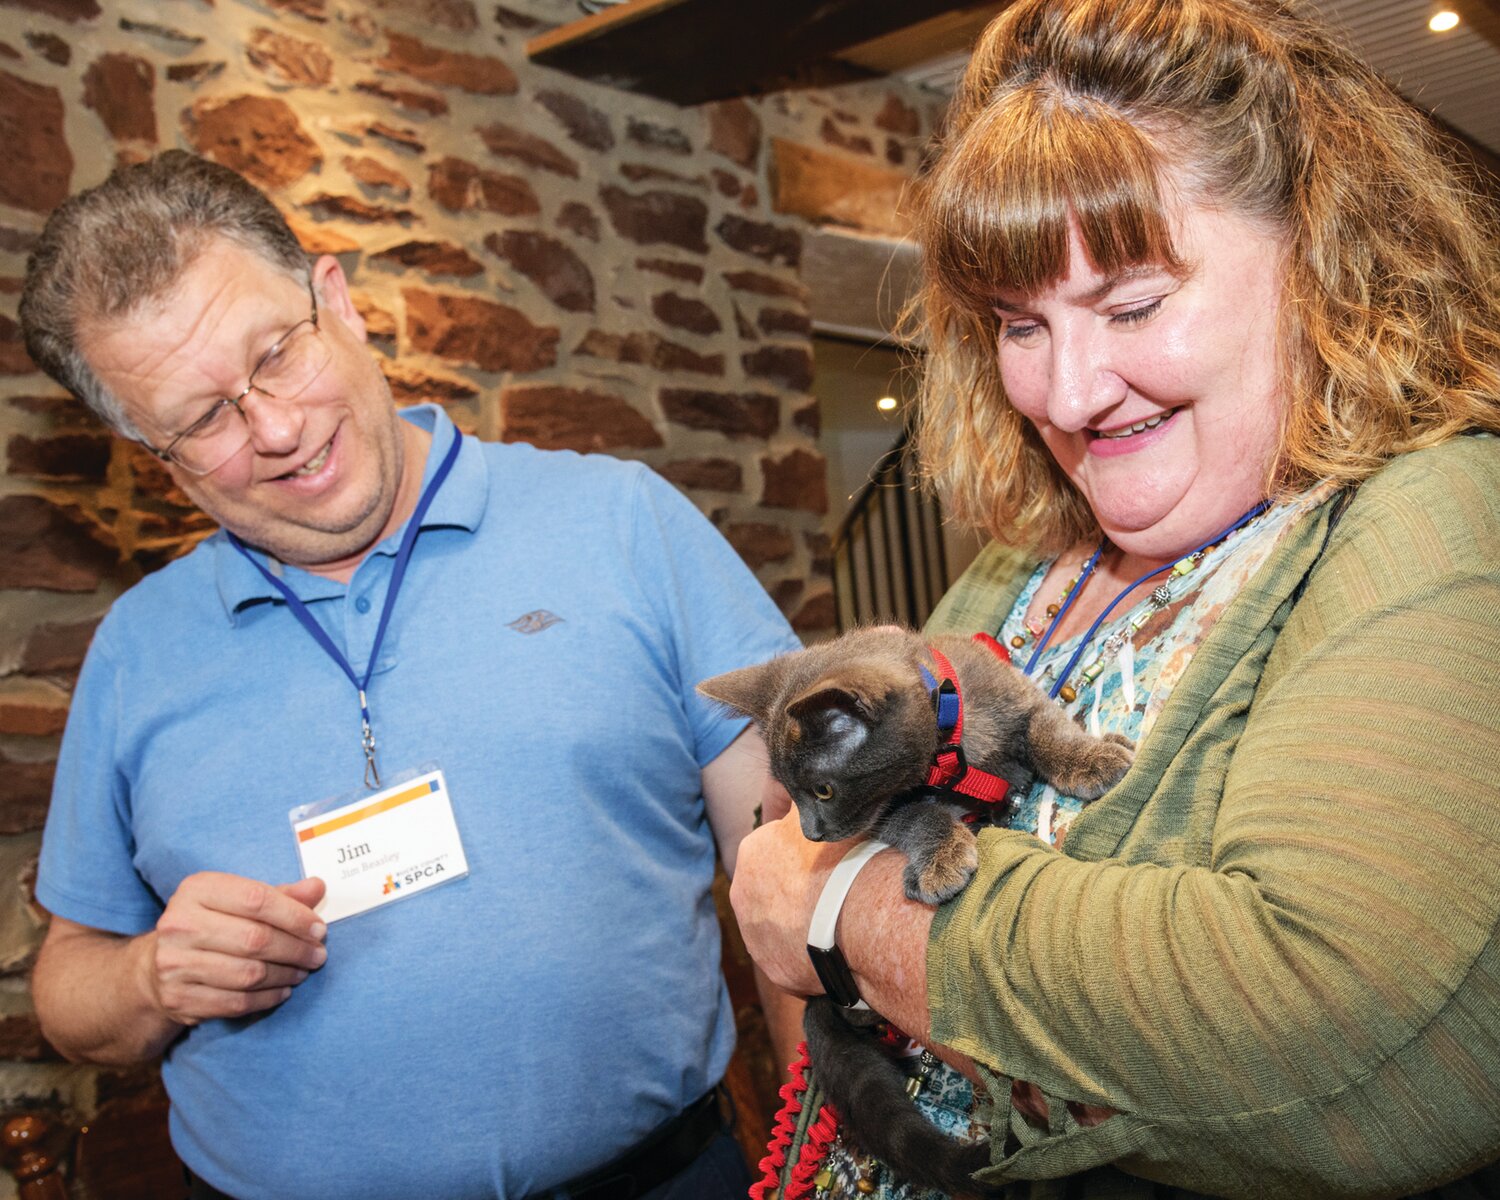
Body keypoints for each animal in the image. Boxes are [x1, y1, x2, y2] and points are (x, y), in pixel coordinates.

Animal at [696, 627, 1128, 1200]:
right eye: (790, 794)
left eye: (822, 789)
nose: (810, 832)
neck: (951, 754)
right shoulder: (882, 814)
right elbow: (918, 815)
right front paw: (941, 855)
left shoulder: (1010, 693)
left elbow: (1046, 724)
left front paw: (1093, 757)